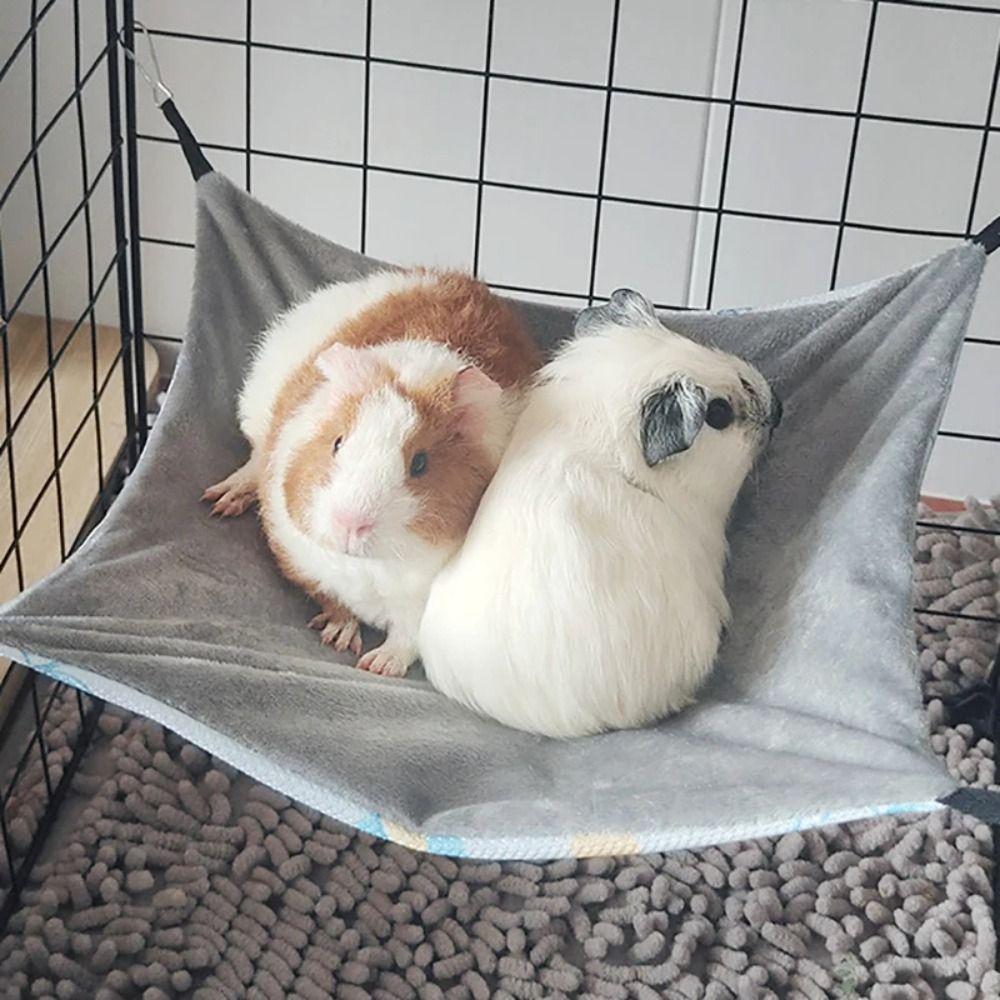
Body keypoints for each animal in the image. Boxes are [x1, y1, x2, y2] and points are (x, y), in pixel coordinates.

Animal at [203, 269, 540, 677]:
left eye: (420, 463)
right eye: (337, 442)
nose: (350, 523)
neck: (368, 569)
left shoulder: (422, 607)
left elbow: (407, 638)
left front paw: (377, 666)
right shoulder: (303, 561)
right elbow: (331, 600)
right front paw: (338, 638)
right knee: (252, 462)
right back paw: (220, 501)